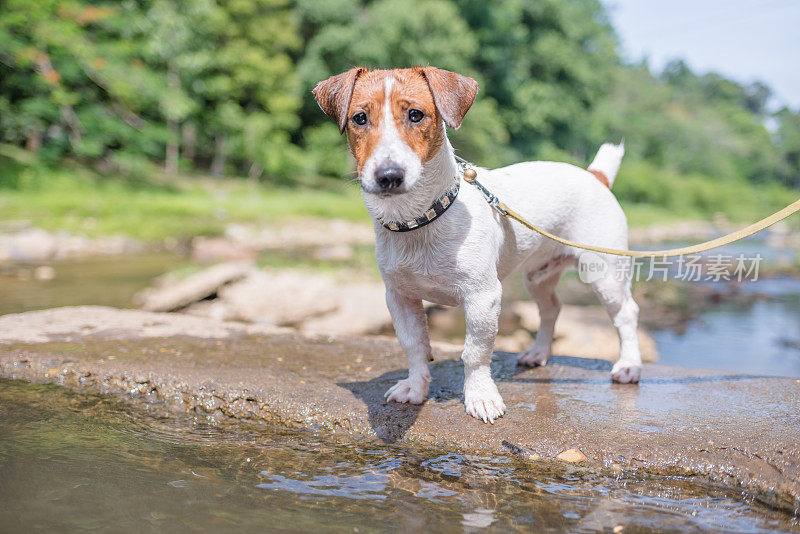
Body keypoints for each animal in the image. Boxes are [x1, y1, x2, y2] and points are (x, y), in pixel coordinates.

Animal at [314, 69, 644, 426]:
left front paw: (481, 397)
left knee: (626, 313)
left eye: (416, 114)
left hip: (604, 274)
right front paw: (415, 388)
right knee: (551, 308)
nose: (389, 175)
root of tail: (595, 176)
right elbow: (414, 346)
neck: (421, 220)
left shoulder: (483, 297)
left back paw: (629, 366)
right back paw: (538, 353)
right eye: (359, 118)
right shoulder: (399, 297)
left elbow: (474, 353)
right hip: (538, 276)